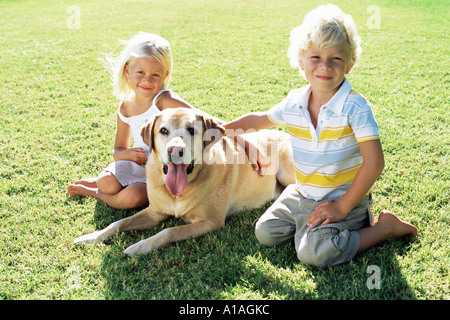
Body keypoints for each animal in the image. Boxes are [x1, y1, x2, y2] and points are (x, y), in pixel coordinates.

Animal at [74, 109, 296, 256]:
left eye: (191, 130)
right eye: (163, 131)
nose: (175, 150)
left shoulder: (210, 222)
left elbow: (168, 231)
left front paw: (140, 246)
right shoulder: (154, 212)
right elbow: (119, 222)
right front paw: (92, 236)